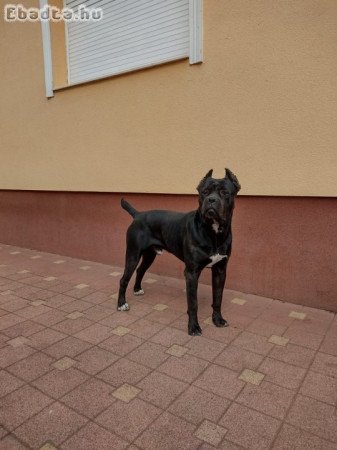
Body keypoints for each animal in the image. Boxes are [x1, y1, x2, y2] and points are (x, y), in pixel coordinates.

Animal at [117, 169, 240, 334]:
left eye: (225, 192)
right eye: (204, 192)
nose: (211, 200)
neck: (213, 232)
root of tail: (138, 214)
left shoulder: (220, 270)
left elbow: (217, 298)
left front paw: (218, 319)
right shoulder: (192, 272)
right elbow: (193, 303)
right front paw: (193, 327)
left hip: (150, 255)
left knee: (140, 270)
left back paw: (137, 289)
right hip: (133, 254)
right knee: (124, 279)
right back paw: (121, 304)